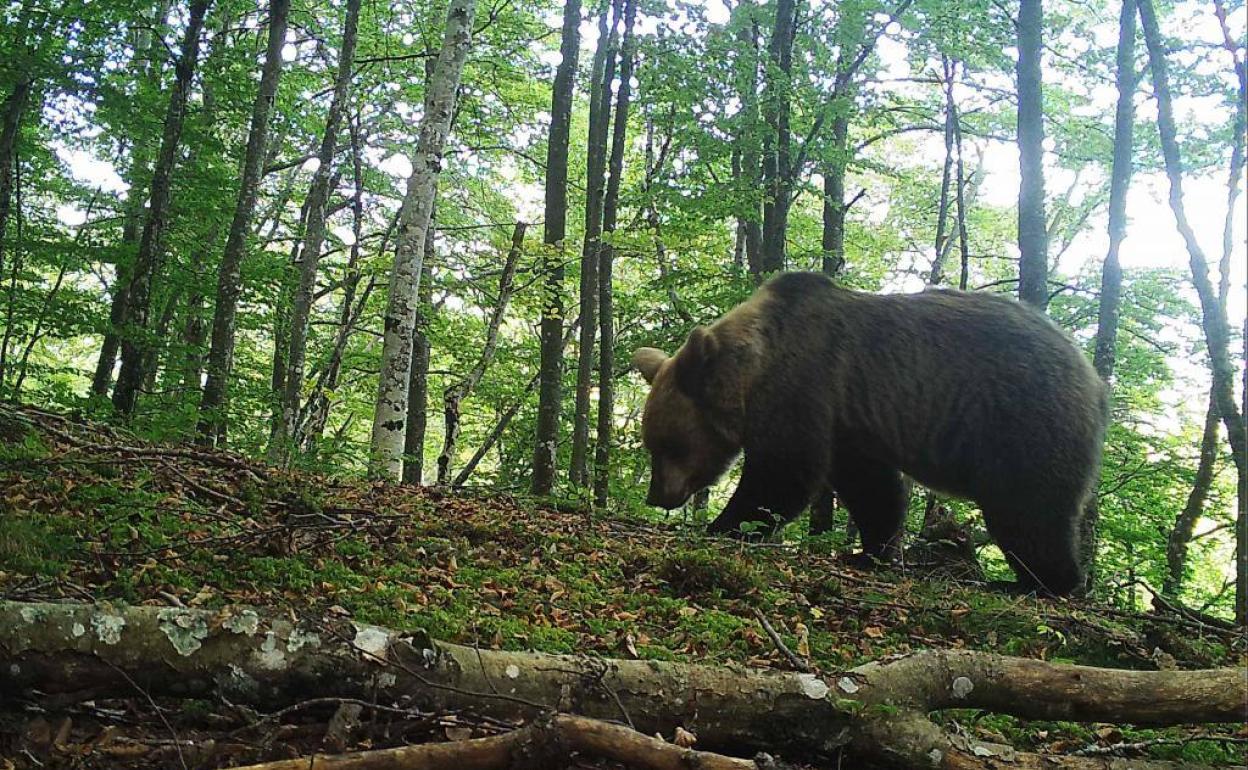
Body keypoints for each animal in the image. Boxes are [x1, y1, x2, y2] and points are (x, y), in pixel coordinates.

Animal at [638, 270, 1108, 594]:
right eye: (652, 445)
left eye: (668, 445)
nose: (657, 495)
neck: (753, 372)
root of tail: (1093, 378)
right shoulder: (851, 423)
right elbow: (872, 489)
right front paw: (872, 551)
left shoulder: (804, 385)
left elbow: (783, 474)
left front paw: (724, 525)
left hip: (1024, 420)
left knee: (1030, 508)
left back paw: (1039, 582)